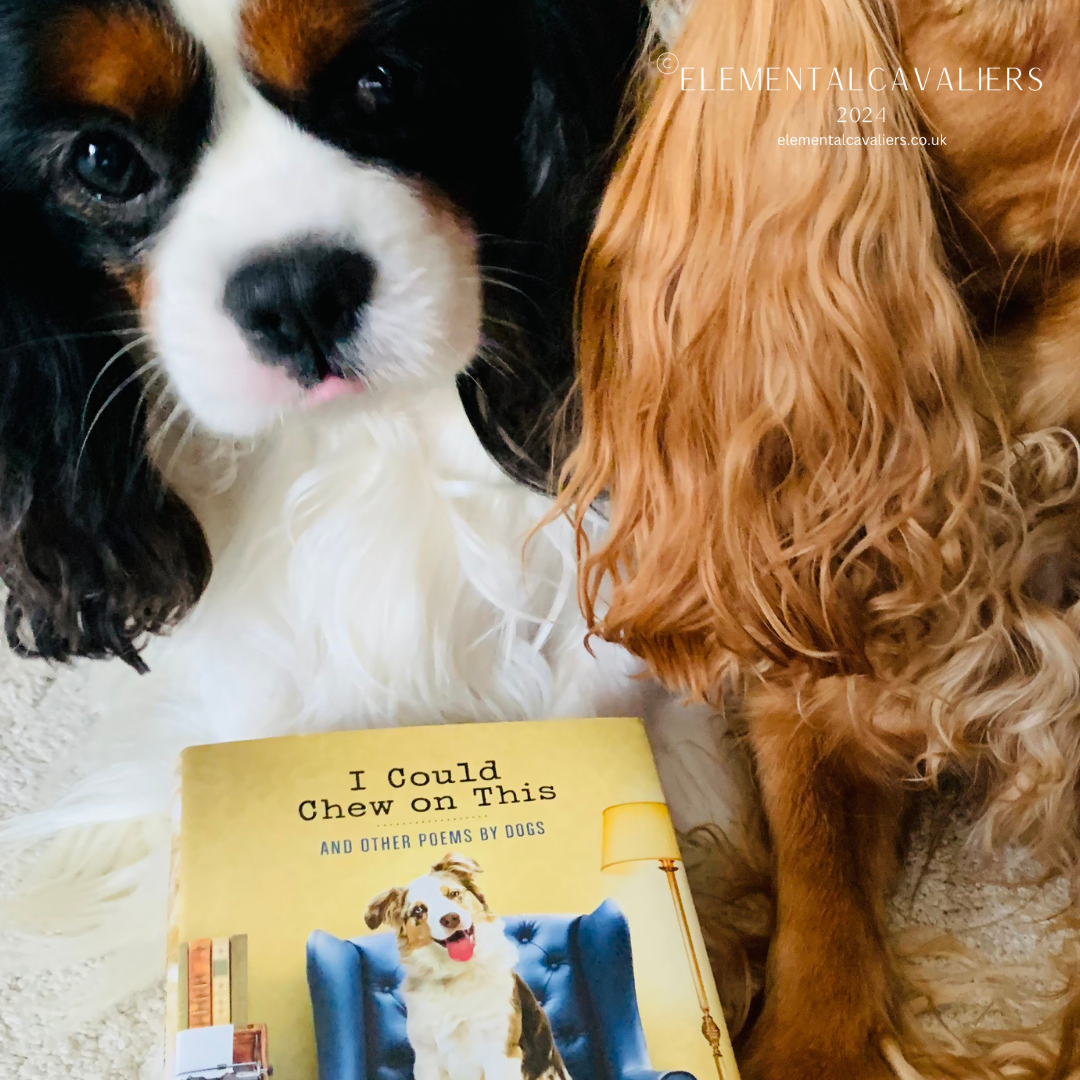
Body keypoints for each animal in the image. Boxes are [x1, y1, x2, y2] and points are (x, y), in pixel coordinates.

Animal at [362, 851, 570, 1080]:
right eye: (418, 910)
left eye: (453, 894)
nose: (450, 919)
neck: (455, 974)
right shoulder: (426, 1058)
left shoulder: (501, 1052)